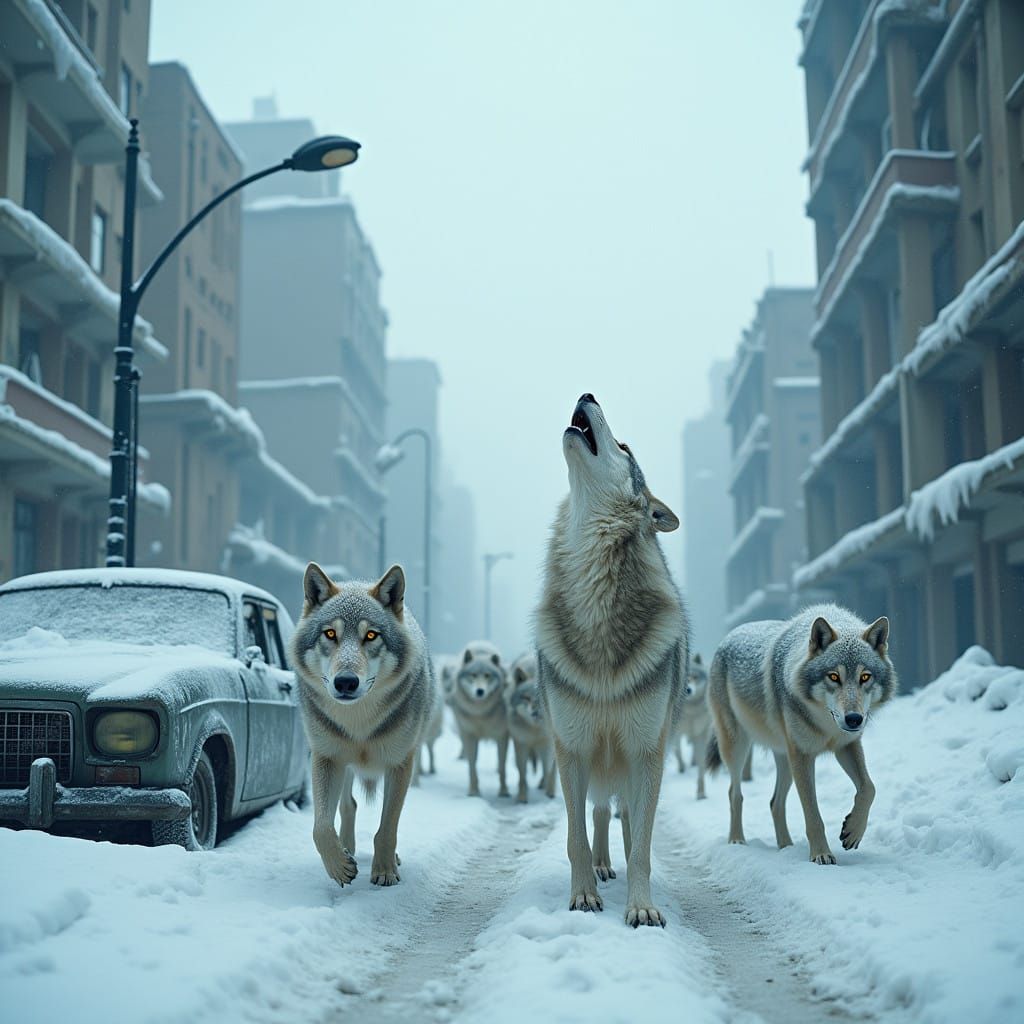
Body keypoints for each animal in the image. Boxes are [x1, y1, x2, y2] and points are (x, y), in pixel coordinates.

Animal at [290, 562, 434, 888]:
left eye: (370, 635)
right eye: (330, 633)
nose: (345, 682)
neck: (358, 723)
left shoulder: (400, 763)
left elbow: (387, 827)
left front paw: (384, 871)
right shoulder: (326, 757)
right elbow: (320, 827)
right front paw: (338, 866)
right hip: (343, 766)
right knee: (348, 805)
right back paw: (347, 849)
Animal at [450, 640, 510, 797]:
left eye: (488, 675)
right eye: (473, 675)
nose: (480, 691)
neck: (480, 713)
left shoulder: (502, 736)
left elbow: (503, 766)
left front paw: (504, 791)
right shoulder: (470, 736)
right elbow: (472, 766)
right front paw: (474, 792)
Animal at [505, 652, 557, 803]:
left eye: (540, 698)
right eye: (526, 698)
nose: (535, 712)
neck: (535, 730)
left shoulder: (548, 745)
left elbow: (549, 771)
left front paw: (549, 794)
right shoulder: (521, 744)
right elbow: (522, 776)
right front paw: (522, 798)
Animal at [536, 393, 688, 928]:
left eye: (624, 446)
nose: (588, 394)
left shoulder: (647, 752)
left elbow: (641, 845)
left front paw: (641, 906)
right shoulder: (571, 749)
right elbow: (576, 838)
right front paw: (583, 896)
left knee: (623, 819)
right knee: (600, 813)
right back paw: (603, 868)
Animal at [706, 603, 897, 865]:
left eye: (865, 677)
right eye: (834, 677)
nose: (854, 719)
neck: (827, 725)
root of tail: (729, 636)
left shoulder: (846, 746)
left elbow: (869, 787)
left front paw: (853, 831)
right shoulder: (804, 755)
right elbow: (813, 814)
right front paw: (821, 854)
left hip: (785, 759)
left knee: (775, 803)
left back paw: (785, 847)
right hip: (738, 748)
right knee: (735, 794)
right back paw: (736, 841)